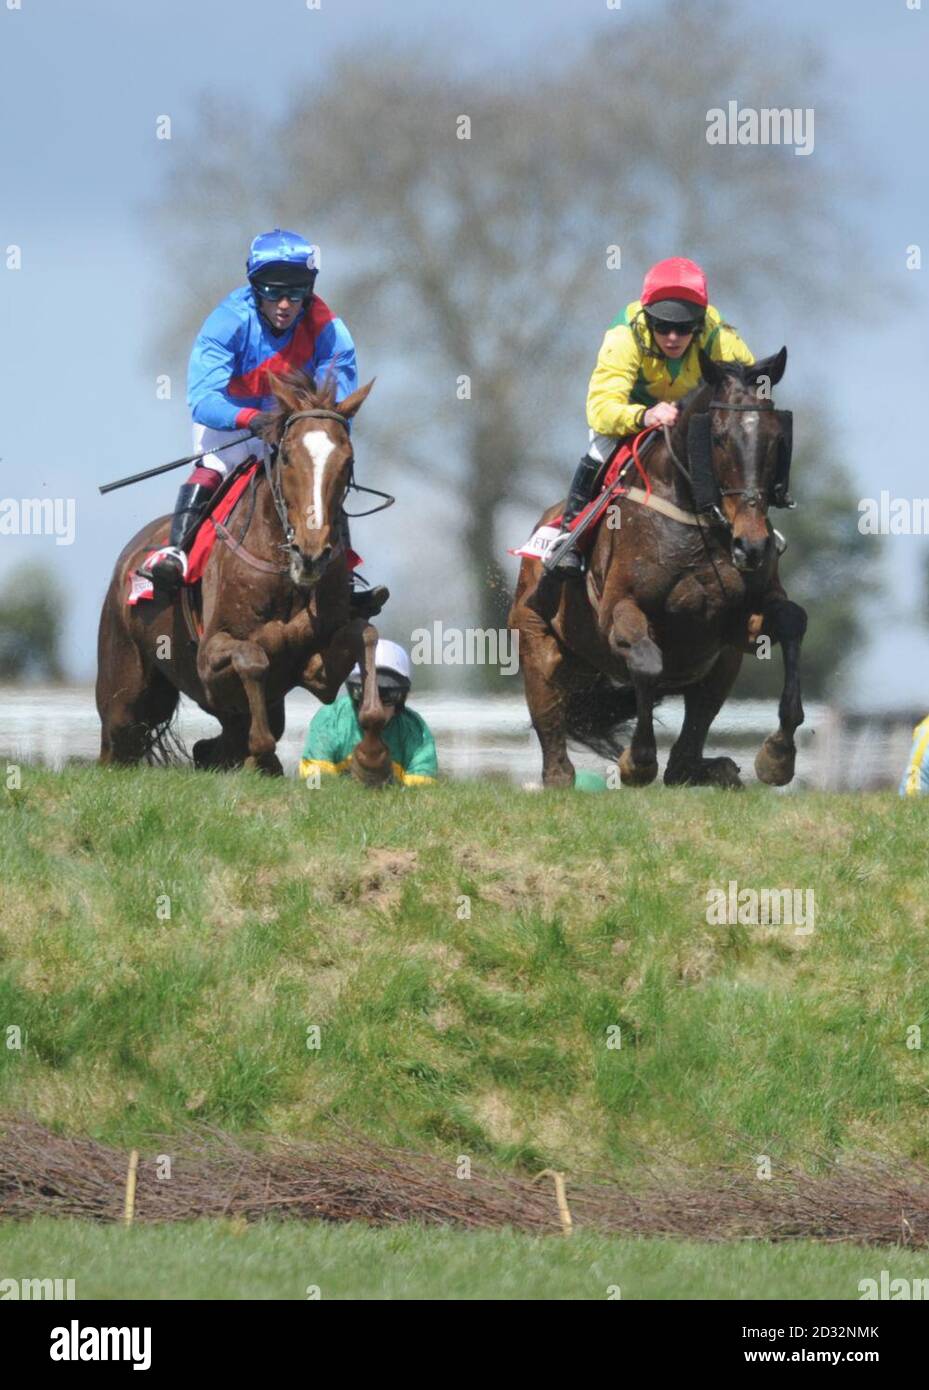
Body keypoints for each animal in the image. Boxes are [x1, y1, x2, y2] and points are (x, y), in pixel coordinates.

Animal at [97, 369, 392, 783]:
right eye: (287, 456)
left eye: (347, 460)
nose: (312, 553)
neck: (286, 573)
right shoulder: (209, 660)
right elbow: (252, 658)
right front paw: (264, 756)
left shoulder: (316, 670)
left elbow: (365, 633)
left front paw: (372, 757)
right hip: (125, 697)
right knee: (118, 743)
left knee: (210, 747)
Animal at [509, 347, 806, 795]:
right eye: (718, 438)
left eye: (775, 439)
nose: (751, 545)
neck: (695, 521)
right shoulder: (619, 610)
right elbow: (648, 663)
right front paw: (637, 761)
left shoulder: (740, 623)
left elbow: (791, 621)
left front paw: (778, 755)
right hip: (537, 637)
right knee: (550, 717)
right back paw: (561, 775)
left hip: (718, 664)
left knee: (685, 754)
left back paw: (715, 768)